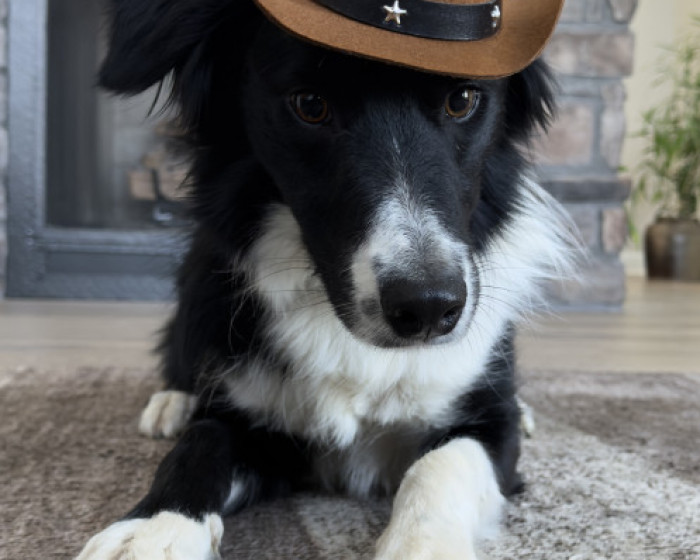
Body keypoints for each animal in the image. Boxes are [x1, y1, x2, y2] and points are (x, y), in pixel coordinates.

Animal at [76, 1, 573, 558]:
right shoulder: (259, 429)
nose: (426, 308)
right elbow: (201, 443)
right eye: (310, 104)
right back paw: (172, 402)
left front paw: (421, 544)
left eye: (462, 100)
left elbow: (444, 463)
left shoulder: (489, 427)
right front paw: (155, 527)